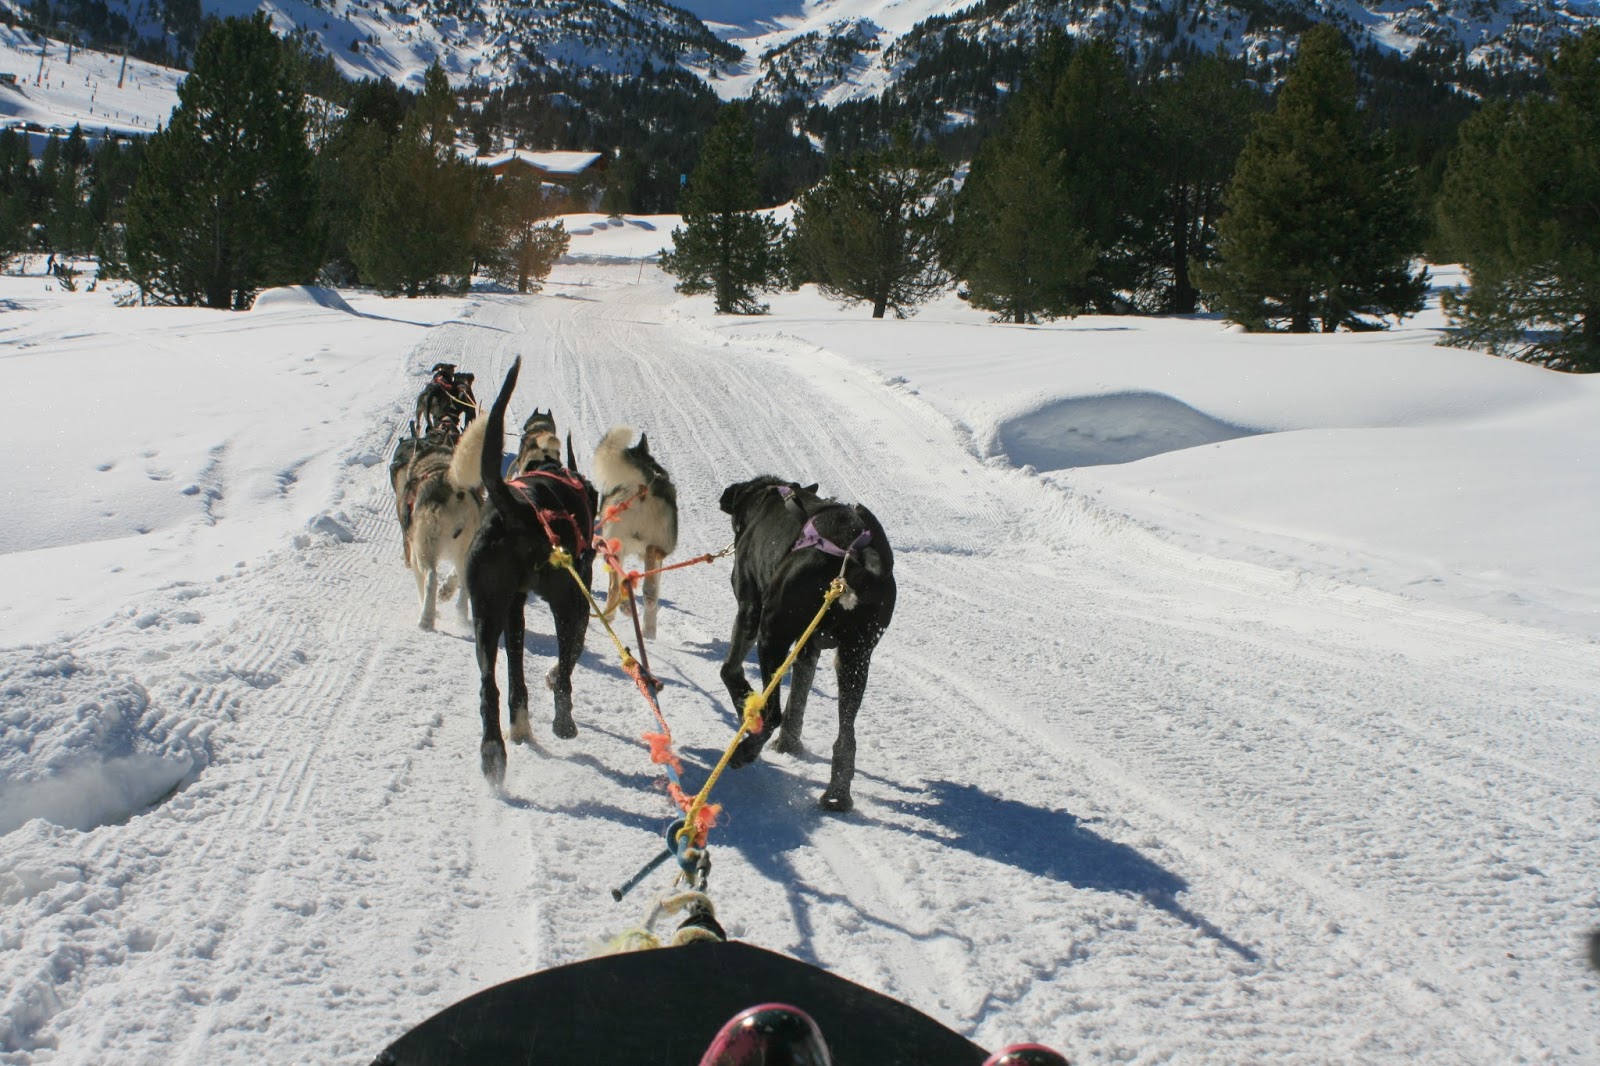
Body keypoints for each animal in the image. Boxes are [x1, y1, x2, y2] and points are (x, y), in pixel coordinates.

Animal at [389, 416, 482, 630]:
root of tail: (449, 482)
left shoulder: (414, 554)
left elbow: (421, 586)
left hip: (425, 549)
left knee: (431, 579)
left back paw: (426, 619)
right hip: (465, 550)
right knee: (464, 585)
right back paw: (461, 618)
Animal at [453, 359, 599, 785]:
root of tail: (516, 508)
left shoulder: (513, 608)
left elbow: (516, 675)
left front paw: (519, 725)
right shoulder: (578, 600)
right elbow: (571, 655)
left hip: (487, 612)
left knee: (489, 687)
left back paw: (494, 751)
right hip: (567, 601)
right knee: (566, 668)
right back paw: (563, 724)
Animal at [592, 426, 679, 639]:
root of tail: (640, 486)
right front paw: (650, 630)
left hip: (613, 547)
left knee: (617, 585)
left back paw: (618, 611)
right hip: (657, 545)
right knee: (647, 583)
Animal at [717, 476, 895, 812]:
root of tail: (853, 555)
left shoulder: (749, 609)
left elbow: (730, 670)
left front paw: (744, 701)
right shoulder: (809, 645)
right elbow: (798, 698)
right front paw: (790, 744)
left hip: (772, 630)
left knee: (772, 712)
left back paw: (747, 747)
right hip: (855, 655)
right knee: (846, 737)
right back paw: (838, 793)